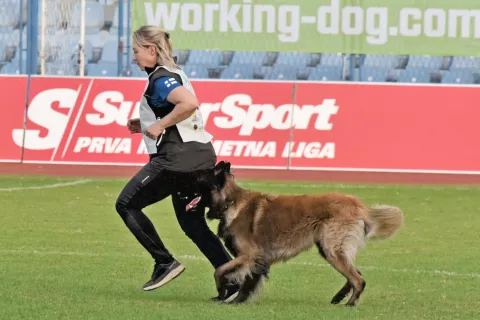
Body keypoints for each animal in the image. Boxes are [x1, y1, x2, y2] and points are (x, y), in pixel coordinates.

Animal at [204, 161, 404, 306]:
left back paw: (350, 304)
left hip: (332, 250)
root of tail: (356, 204)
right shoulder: (256, 259)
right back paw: (339, 297)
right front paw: (235, 298)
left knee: (358, 279)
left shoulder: (250, 255)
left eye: (200, 177)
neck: (231, 201)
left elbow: (220, 271)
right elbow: (243, 278)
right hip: (329, 248)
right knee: (356, 273)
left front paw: (226, 295)